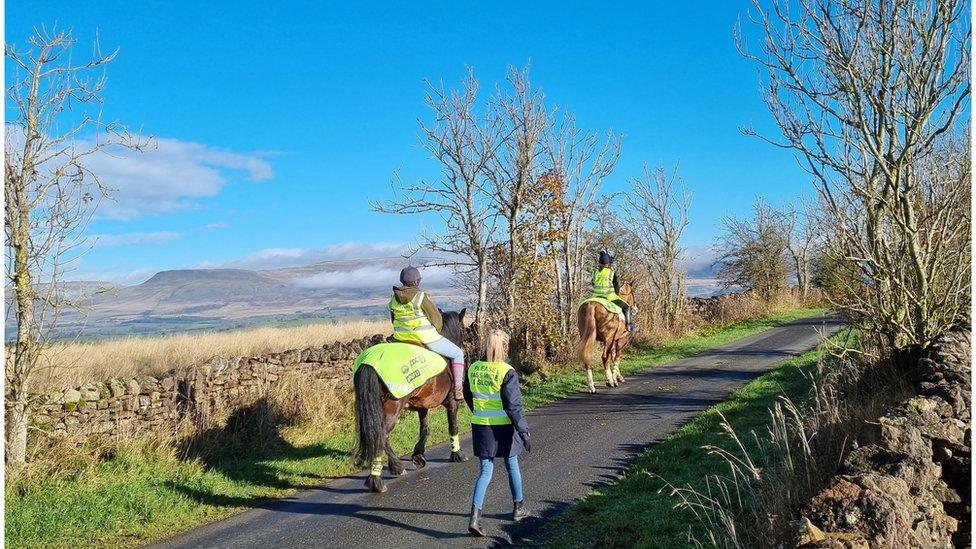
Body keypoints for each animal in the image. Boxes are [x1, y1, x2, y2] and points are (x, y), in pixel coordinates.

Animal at [354, 308, 468, 492]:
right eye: (463, 329)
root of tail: (370, 363)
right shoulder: (451, 403)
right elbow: (453, 426)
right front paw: (457, 454)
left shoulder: (423, 406)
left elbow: (424, 430)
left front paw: (418, 456)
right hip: (392, 408)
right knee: (382, 434)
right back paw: (384, 476)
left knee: (380, 435)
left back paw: (391, 469)